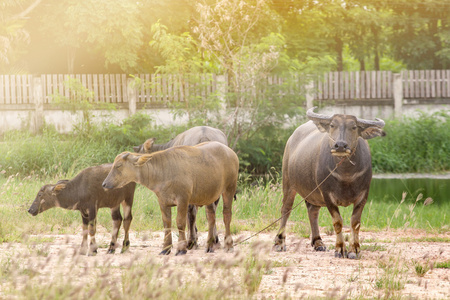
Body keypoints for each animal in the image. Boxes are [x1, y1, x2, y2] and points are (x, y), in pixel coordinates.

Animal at [103, 141, 239, 255]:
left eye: (118, 165)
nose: (104, 184)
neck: (164, 172)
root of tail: (231, 152)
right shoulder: (163, 202)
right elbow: (167, 224)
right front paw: (165, 248)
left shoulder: (183, 200)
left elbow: (180, 223)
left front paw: (181, 249)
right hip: (209, 195)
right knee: (211, 217)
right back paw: (210, 246)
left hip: (229, 189)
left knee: (227, 215)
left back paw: (229, 245)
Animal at [272, 106, 384, 258]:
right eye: (332, 125)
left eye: (354, 127)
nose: (340, 145)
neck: (346, 174)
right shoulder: (327, 194)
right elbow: (337, 222)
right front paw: (340, 249)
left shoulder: (363, 195)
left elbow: (355, 222)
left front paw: (354, 249)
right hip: (288, 183)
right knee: (286, 210)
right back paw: (279, 242)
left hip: (313, 193)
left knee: (313, 211)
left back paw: (318, 242)